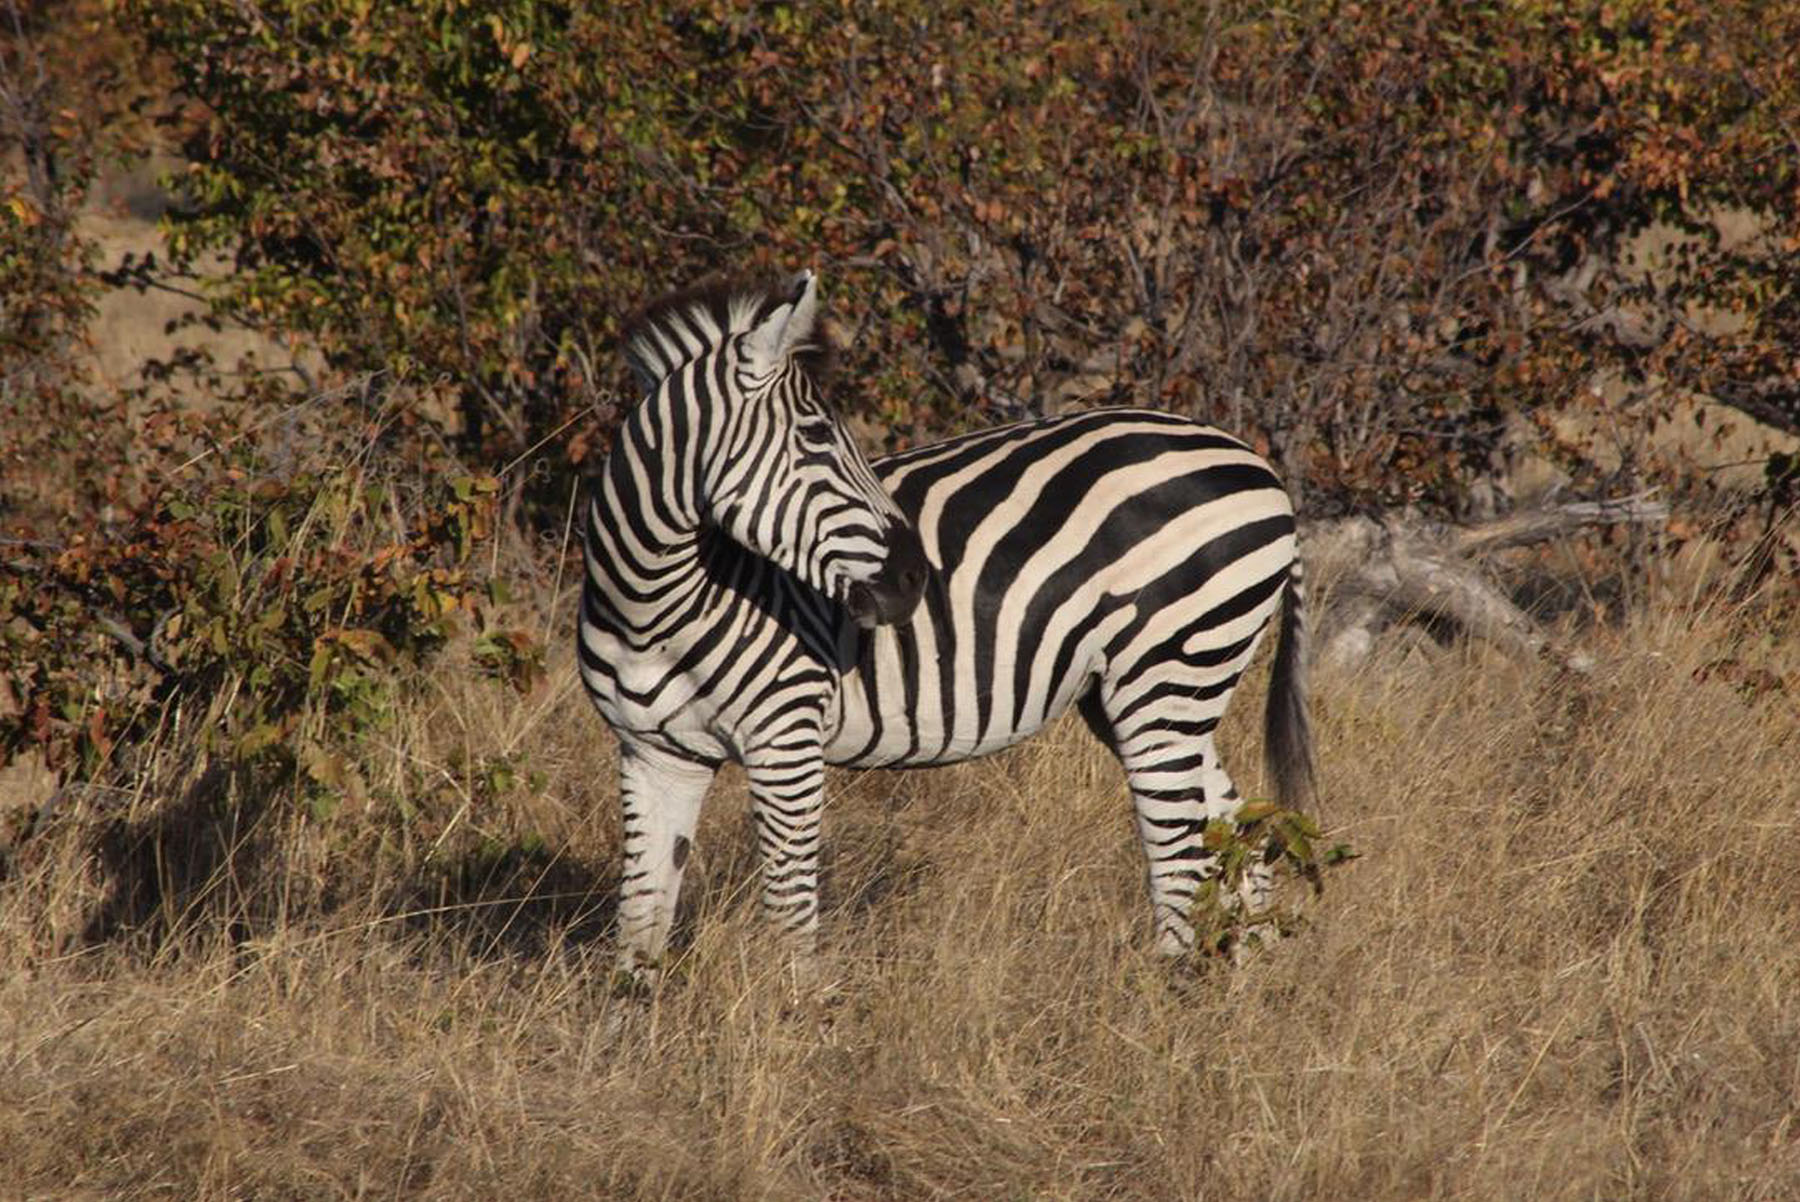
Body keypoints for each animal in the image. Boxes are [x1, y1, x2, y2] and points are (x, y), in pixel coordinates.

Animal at [579, 271, 1310, 986]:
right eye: (817, 438)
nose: (914, 577)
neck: (651, 607)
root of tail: (1262, 468)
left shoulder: (786, 741)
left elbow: (789, 916)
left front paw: (796, 1015)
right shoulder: (653, 755)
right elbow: (639, 928)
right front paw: (633, 1019)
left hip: (1169, 672)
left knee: (1180, 852)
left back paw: (1168, 997)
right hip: (1143, 694)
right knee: (1235, 830)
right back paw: (1248, 991)